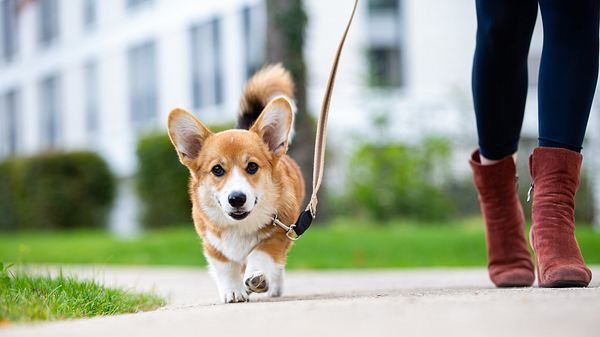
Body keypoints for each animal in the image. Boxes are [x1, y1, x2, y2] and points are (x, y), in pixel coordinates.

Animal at [166, 64, 304, 304]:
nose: (237, 198)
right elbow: (226, 268)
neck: (240, 226)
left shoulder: (280, 233)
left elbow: (261, 253)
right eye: (217, 170)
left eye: (252, 167)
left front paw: (257, 276)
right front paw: (233, 291)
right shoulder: (212, 244)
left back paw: (273, 286)